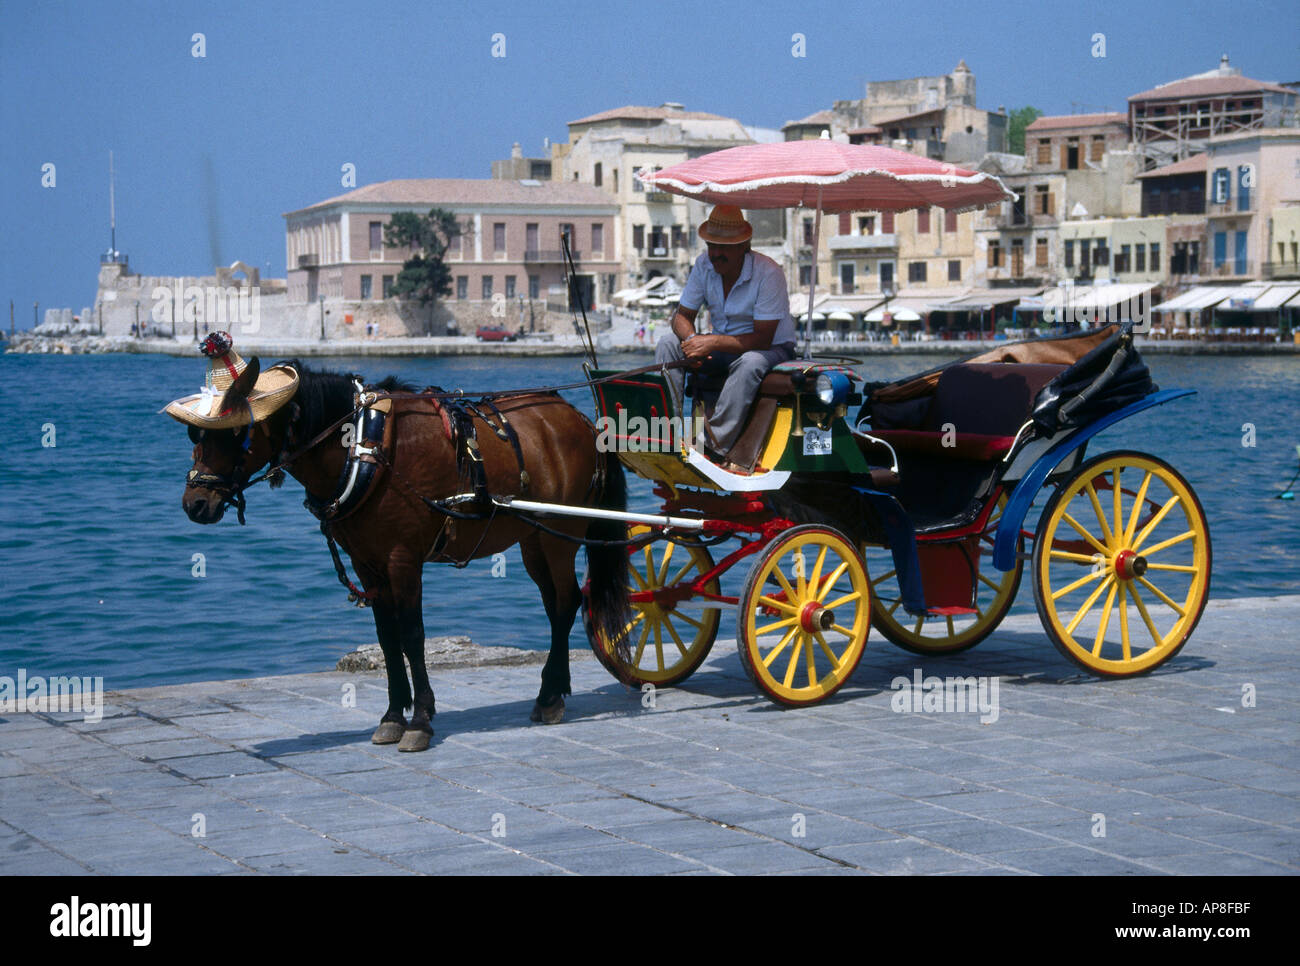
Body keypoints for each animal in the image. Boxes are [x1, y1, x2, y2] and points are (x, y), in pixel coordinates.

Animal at [176, 356, 629, 754]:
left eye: (235, 433)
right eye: (196, 436)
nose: (195, 503)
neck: (365, 446)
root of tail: (578, 417)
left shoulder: (403, 560)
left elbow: (413, 635)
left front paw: (421, 721)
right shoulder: (368, 565)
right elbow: (387, 638)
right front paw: (393, 715)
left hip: (560, 536)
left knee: (567, 601)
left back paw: (551, 695)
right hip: (534, 538)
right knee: (555, 605)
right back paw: (552, 691)